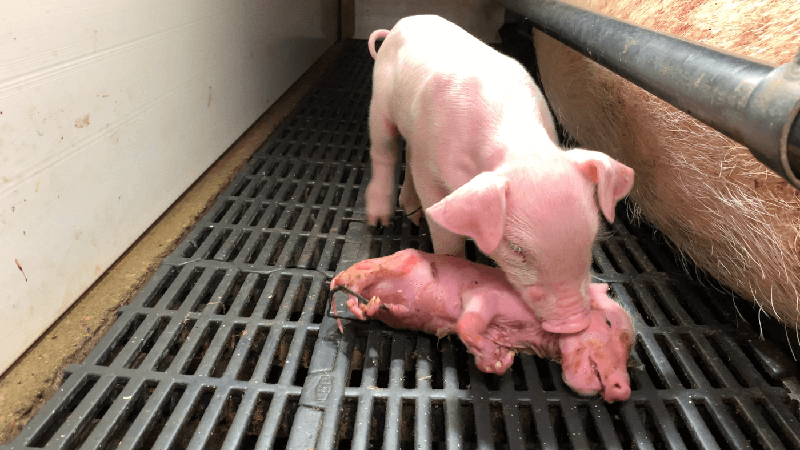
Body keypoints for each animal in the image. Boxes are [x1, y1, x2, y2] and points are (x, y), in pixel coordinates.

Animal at [331, 249, 635, 402]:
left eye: (629, 351)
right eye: (608, 322)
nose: (624, 389)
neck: (531, 331)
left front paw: (502, 358)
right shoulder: (486, 296)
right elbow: (467, 323)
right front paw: (498, 360)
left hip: (397, 309)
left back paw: (373, 306)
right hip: (398, 262)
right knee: (360, 277)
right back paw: (358, 296)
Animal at [364, 15, 635, 335]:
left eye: (592, 237)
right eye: (516, 249)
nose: (574, 324)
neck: (521, 143)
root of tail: (401, 23)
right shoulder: (430, 168)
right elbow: (444, 232)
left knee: (406, 153)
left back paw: (412, 212)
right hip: (380, 105)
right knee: (385, 152)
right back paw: (379, 220)